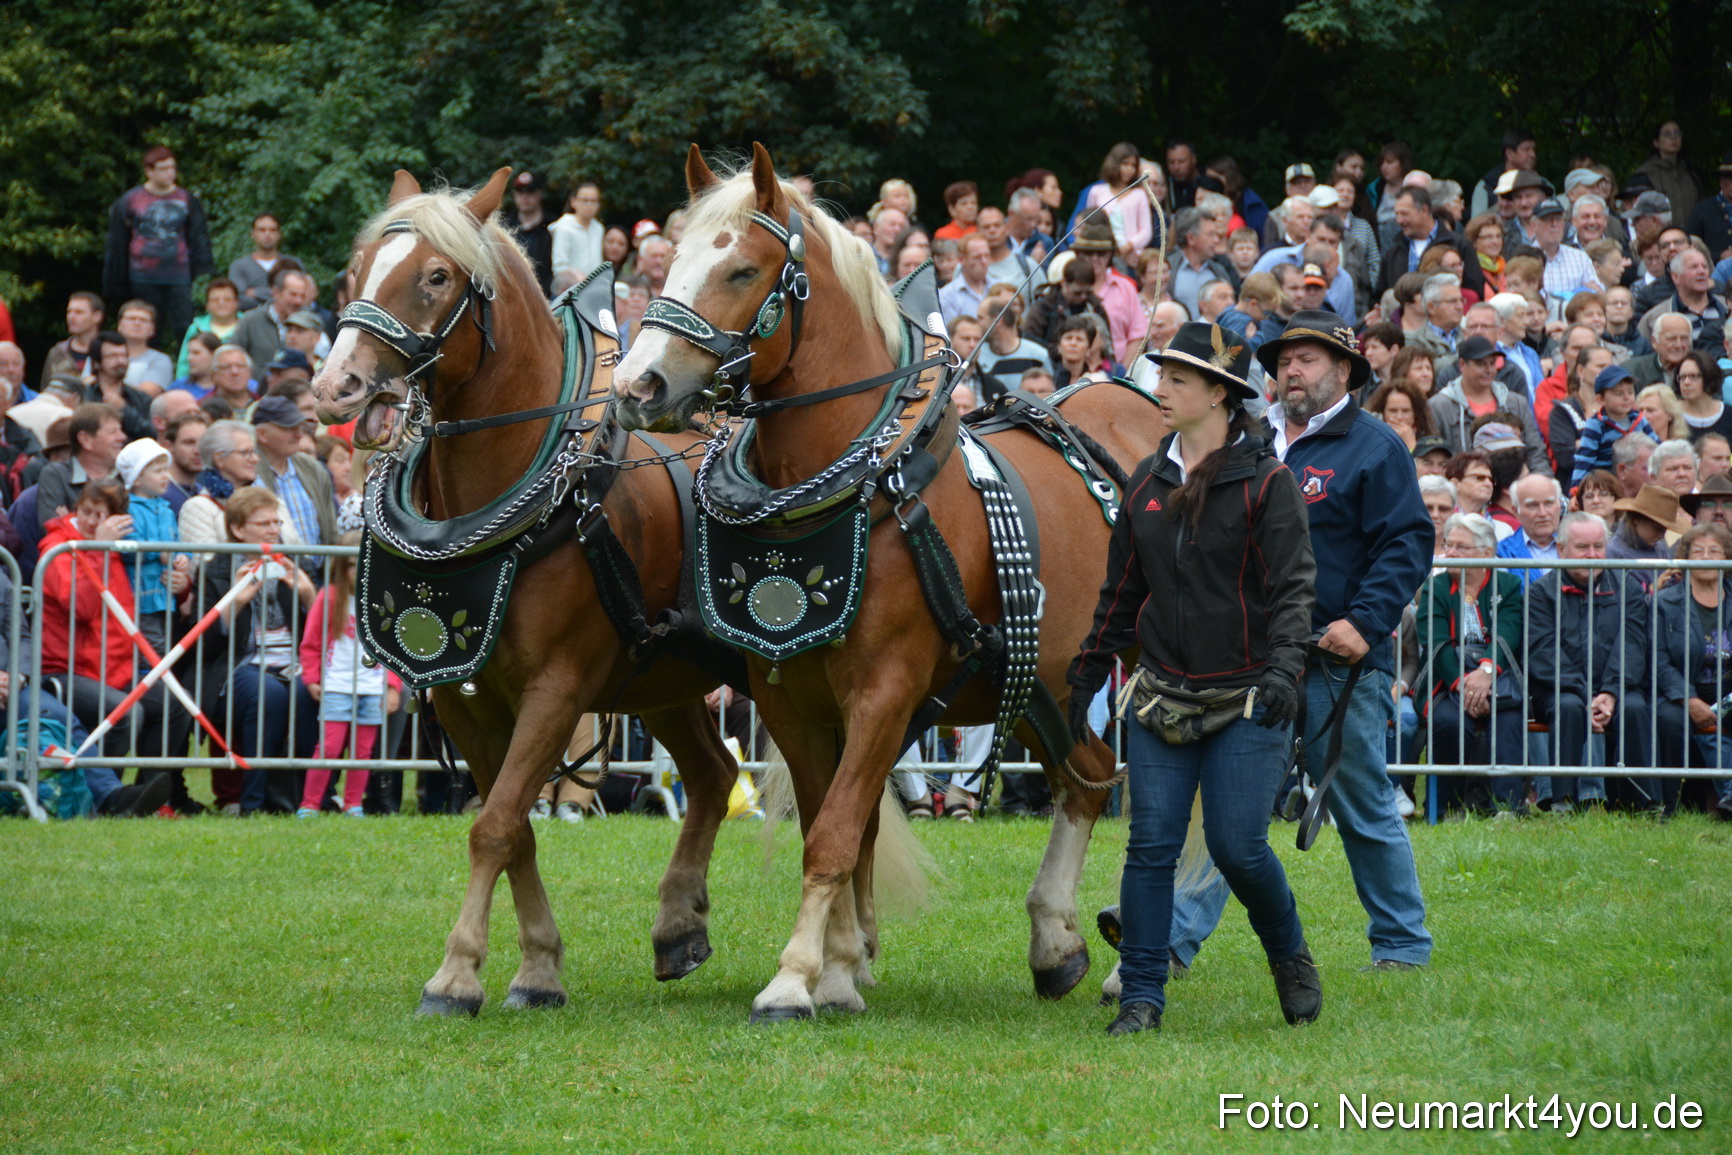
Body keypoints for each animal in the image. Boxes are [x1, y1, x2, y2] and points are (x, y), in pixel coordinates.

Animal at [311, 168, 747, 1015]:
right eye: (356, 269)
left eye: (436, 277)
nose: (336, 383)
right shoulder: (467, 695)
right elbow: (511, 824)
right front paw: (538, 967)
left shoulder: (558, 688)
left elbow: (497, 823)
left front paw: (455, 975)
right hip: (665, 679)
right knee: (714, 774)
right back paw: (679, 925)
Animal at [615, 144, 1168, 1022]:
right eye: (668, 263)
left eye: (741, 269)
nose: (639, 386)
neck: (853, 483)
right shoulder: (790, 693)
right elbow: (834, 825)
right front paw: (841, 967)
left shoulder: (886, 688)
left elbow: (839, 829)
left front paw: (795, 977)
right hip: (1042, 678)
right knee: (1085, 777)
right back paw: (1057, 939)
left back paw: (1142, 954)